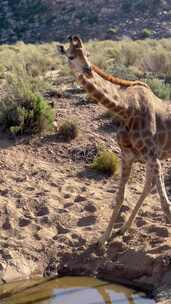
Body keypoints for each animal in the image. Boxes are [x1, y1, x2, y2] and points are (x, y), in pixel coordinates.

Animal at [58, 35, 171, 246]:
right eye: (70, 56)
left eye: (88, 54)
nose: (88, 69)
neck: (126, 109)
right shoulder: (128, 156)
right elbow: (120, 197)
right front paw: (103, 240)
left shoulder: (153, 157)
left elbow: (165, 204)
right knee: (147, 186)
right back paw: (123, 228)